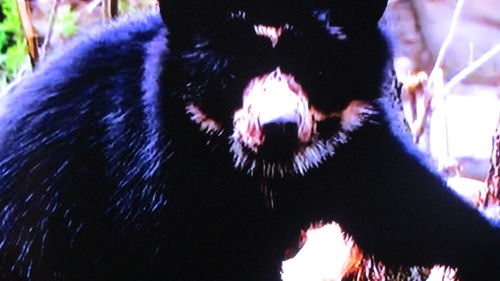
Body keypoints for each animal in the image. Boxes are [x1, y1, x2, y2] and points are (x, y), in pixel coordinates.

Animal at [0, 0, 498, 278]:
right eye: (232, 71)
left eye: (316, 68)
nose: (278, 126)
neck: (267, 172)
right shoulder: (150, 173)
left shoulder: (353, 141)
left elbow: (403, 211)